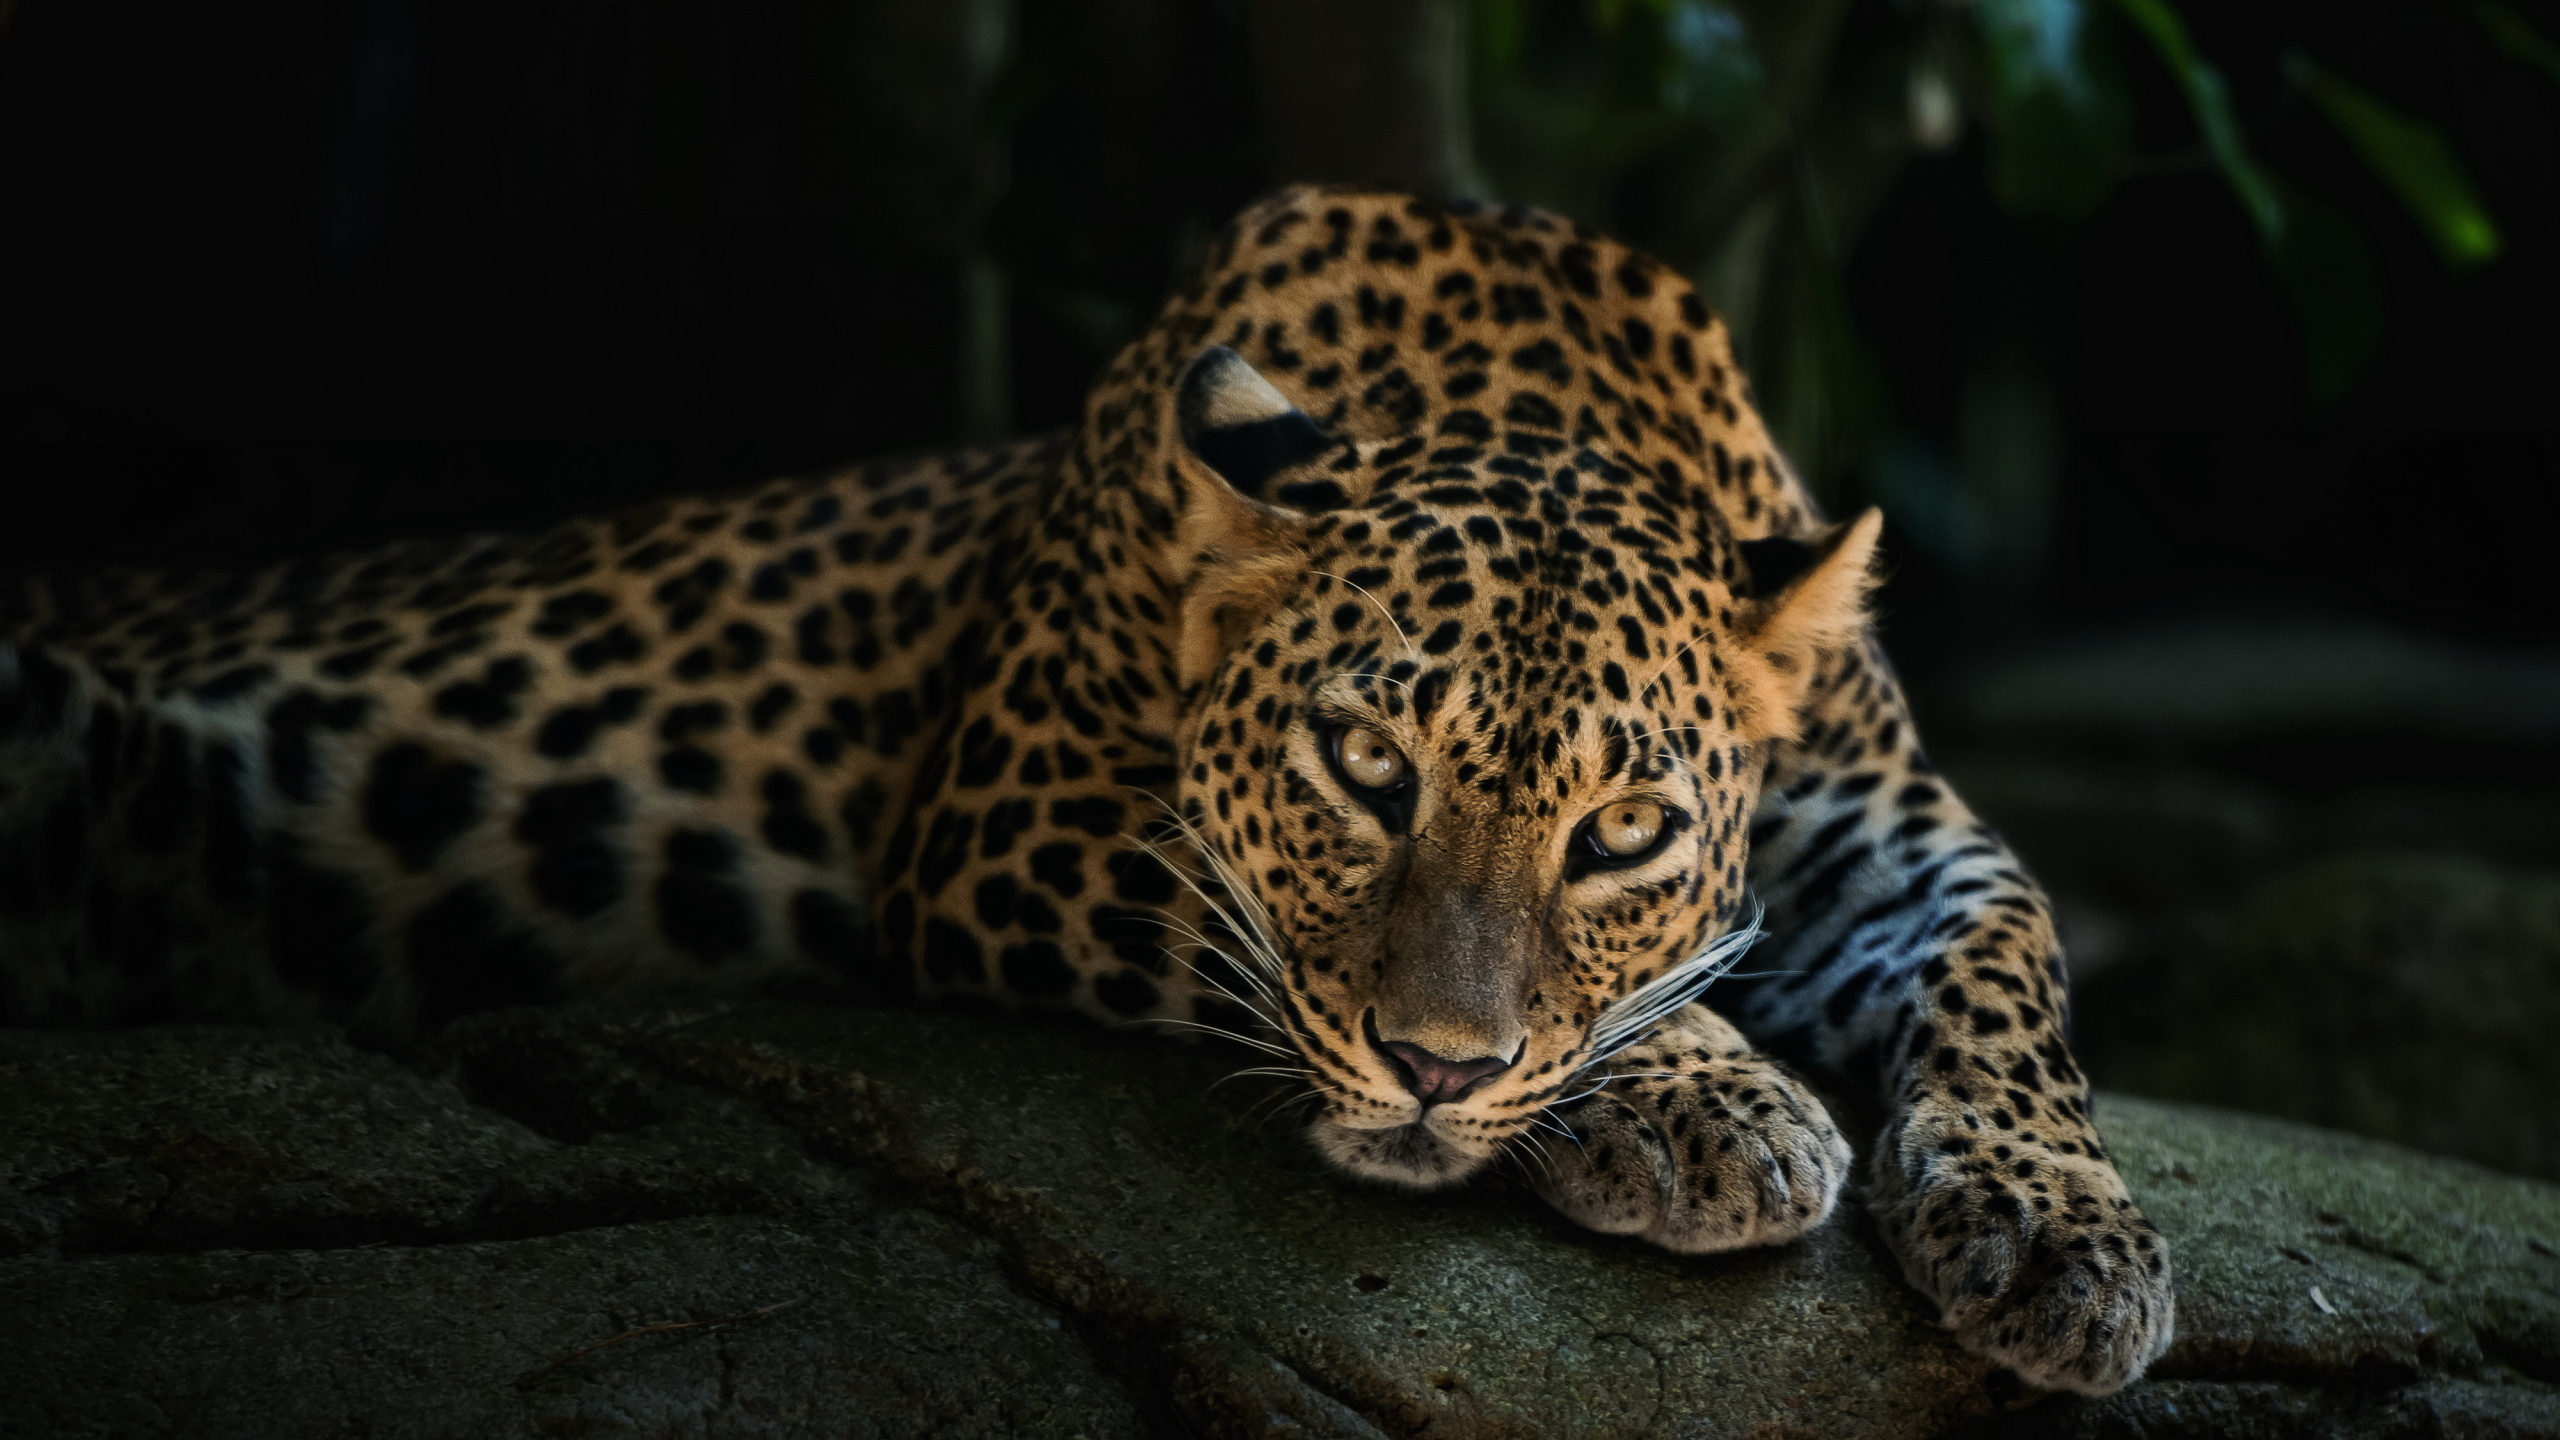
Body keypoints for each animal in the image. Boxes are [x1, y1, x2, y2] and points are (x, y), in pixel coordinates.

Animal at [0, 185, 2172, 1395]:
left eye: (1622, 832)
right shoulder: (1008, 822)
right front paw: (1713, 1101)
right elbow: (1281, 944)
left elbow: (2012, 961)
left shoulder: (1892, 827)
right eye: (1361, 768)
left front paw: (2062, 1234)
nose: (1439, 1076)